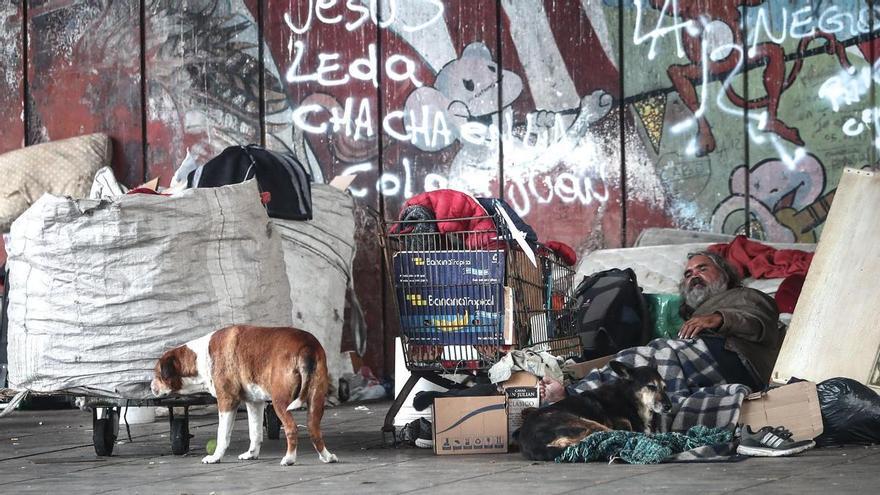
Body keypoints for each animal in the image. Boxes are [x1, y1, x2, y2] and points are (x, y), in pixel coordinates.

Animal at [151, 326, 336, 464]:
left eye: (158, 374)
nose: (151, 386)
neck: (199, 357)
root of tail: (306, 346)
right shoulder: (254, 403)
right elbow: (255, 432)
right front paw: (251, 454)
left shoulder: (227, 401)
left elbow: (222, 434)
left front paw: (215, 457)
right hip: (316, 399)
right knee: (314, 429)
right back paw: (327, 457)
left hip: (280, 402)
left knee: (291, 428)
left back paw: (289, 459)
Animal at [516, 360, 672, 462]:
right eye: (651, 386)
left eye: (665, 387)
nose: (669, 407)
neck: (629, 398)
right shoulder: (623, 424)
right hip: (585, 423)